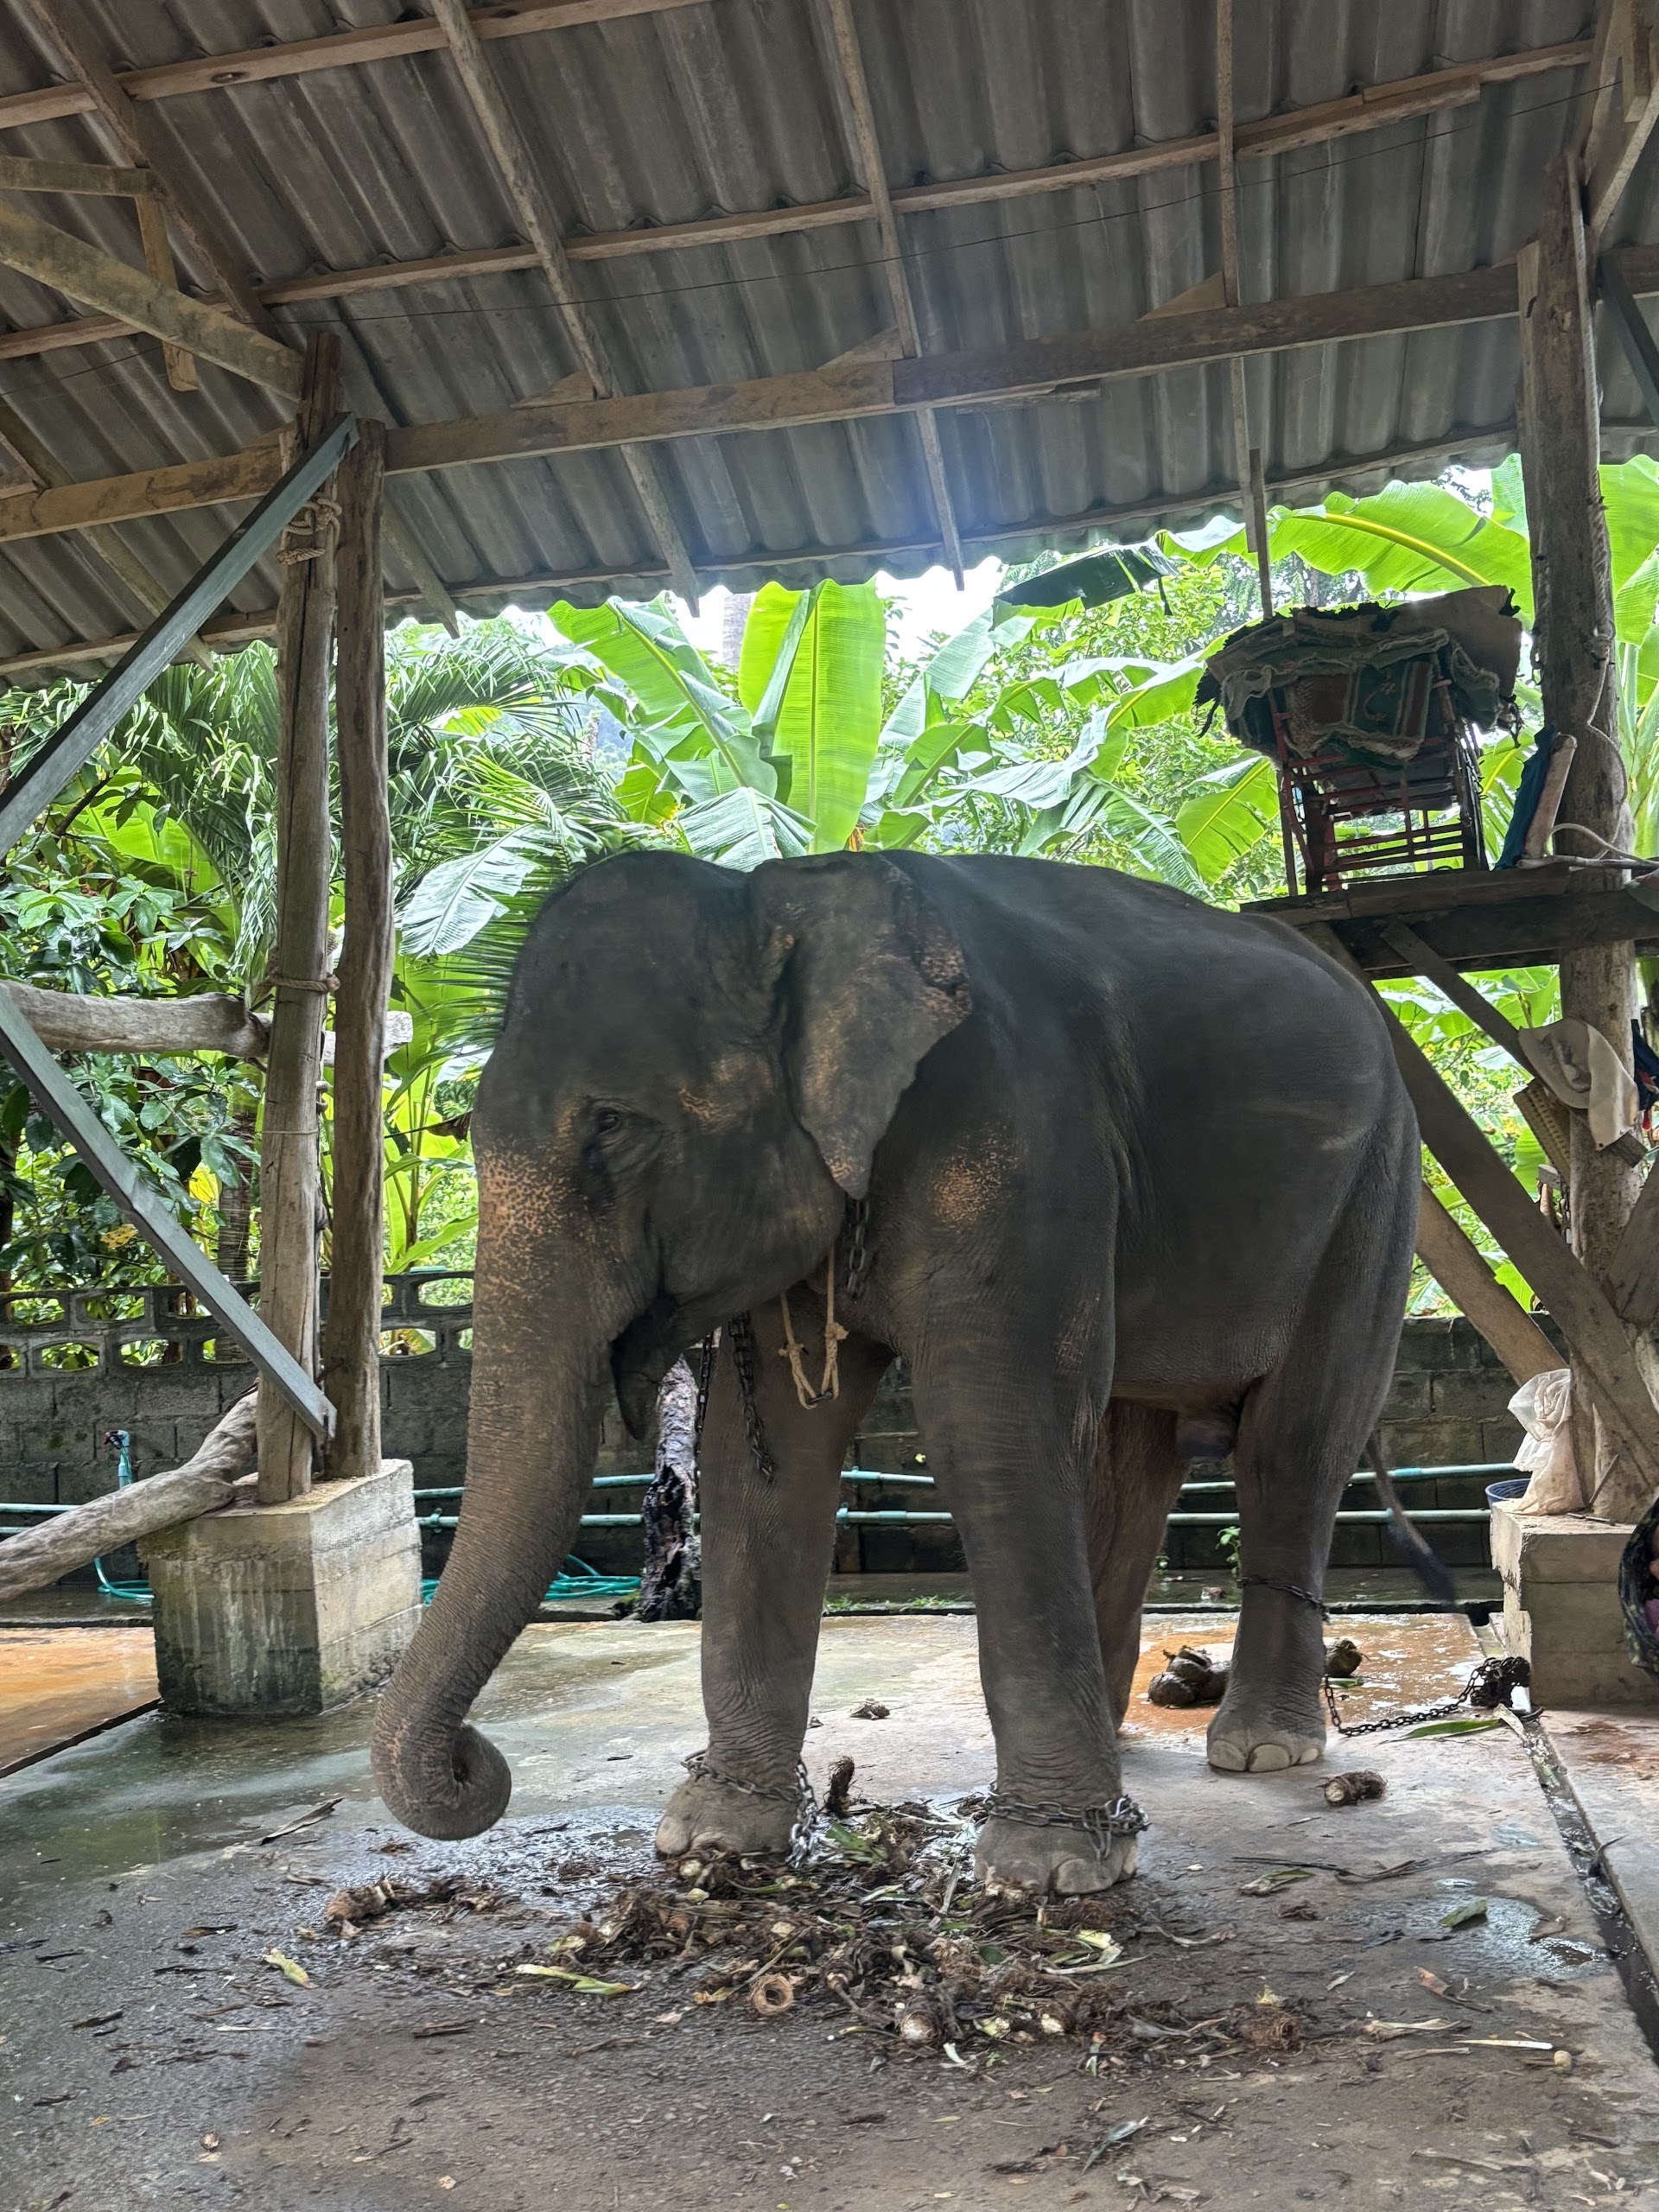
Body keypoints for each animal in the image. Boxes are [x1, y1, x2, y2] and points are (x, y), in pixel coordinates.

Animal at [371, 847, 1418, 1895]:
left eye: (614, 1126)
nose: (474, 1761)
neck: (783, 893)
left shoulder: (1018, 1128)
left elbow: (988, 1430)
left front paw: (1045, 1868)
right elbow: (771, 1454)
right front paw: (713, 1839)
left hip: (1377, 1189)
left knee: (1293, 1444)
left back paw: (1263, 1750)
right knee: (1136, 1455)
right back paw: (1124, 1733)